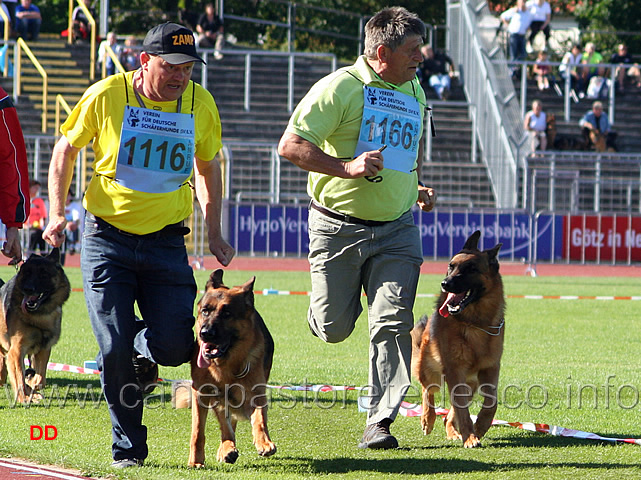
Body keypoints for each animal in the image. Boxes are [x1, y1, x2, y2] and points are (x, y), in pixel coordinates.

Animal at [0, 249, 70, 404]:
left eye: (43, 274)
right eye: (26, 273)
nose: (28, 289)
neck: (38, 316)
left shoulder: (44, 349)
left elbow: (40, 379)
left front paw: (32, 385)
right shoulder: (16, 351)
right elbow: (19, 377)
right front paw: (24, 398)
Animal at [186, 272, 274, 466]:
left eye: (227, 314)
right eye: (205, 311)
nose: (205, 333)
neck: (224, 366)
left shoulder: (255, 395)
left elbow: (259, 420)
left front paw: (264, 443)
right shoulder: (202, 394)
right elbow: (198, 431)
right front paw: (196, 460)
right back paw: (226, 448)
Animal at [410, 231, 504, 448]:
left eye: (471, 269)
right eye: (451, 266)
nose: (445, 284)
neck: (474, 322)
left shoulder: (490, 369)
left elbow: (491, 403)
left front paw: (480, 427)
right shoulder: (454, 369)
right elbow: (462, 410)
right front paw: (470, 436)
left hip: (471, 383)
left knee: (450, 411)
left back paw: (453, 431)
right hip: (432, 371)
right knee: (428, 390)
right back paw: (427, 419)